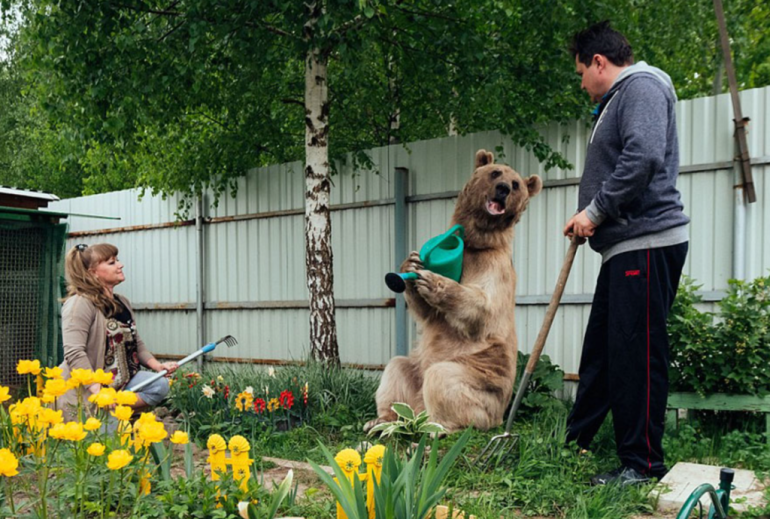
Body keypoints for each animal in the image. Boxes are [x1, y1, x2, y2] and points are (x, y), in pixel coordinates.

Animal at [365, 149, 543, 433]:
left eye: (516, 184)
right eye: (495, 172)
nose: (503, 189)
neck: (476, 242)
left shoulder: (495, 266)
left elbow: (483, 306)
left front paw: (435, 281)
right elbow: (426, 312)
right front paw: (411, 264)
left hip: (481, 381)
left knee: (443, 379)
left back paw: (439, 428)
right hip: (416, 371)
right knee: (396, 368)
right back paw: (381, 419)